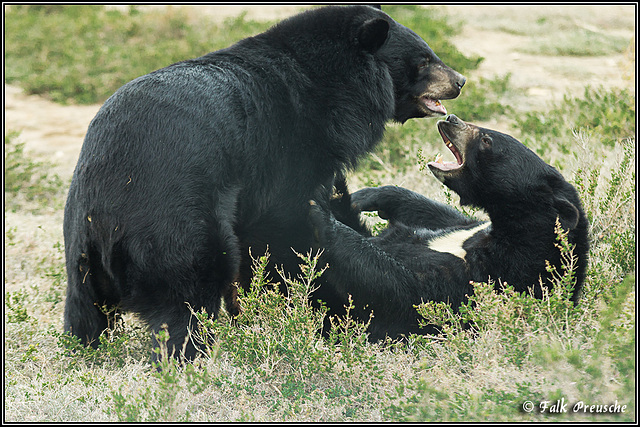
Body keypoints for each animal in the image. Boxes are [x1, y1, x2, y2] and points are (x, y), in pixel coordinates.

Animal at [63, 5, 464, 362]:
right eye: (424, 60)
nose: (459, 81)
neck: (335, 87)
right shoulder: (287, 150)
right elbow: (283, 231)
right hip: (174, 218)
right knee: (187, 291)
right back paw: (189, 355)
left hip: (80, 246)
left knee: (83, 308)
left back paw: (83, 349)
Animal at [310, 113, 592, 342]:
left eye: (487, 139)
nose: (452, 118)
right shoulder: (467, 230)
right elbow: (440, 216)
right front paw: (368, 195)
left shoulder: (486, 278)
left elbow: (404, 291)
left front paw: (319, 214)